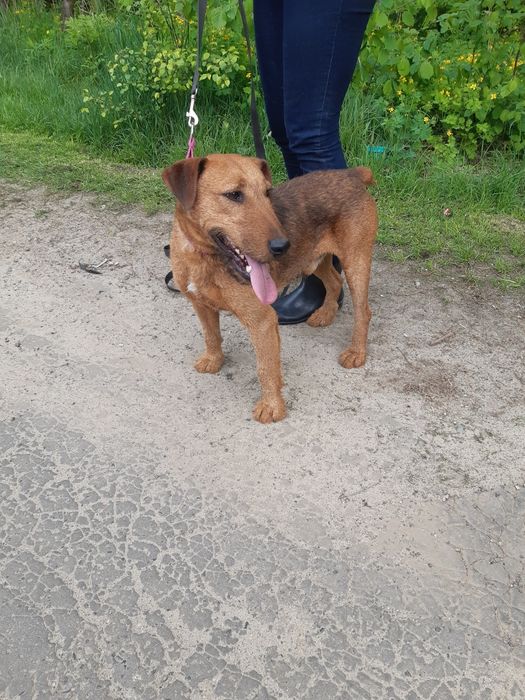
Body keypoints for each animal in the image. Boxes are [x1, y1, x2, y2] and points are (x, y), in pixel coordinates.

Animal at [162, 154, 377, 423]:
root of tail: (352, 174)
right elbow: (211, 335)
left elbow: (266, 367)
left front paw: (272, 406)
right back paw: (326, 314)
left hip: (355, 262)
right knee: (334, 282)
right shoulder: (200, 304)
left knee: (363, 311)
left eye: (267, 192)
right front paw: (213, 360)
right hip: (312, 261)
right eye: (234, 195)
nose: (282, 246)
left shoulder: (262, 321)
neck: (204, 257)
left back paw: (356, 352)